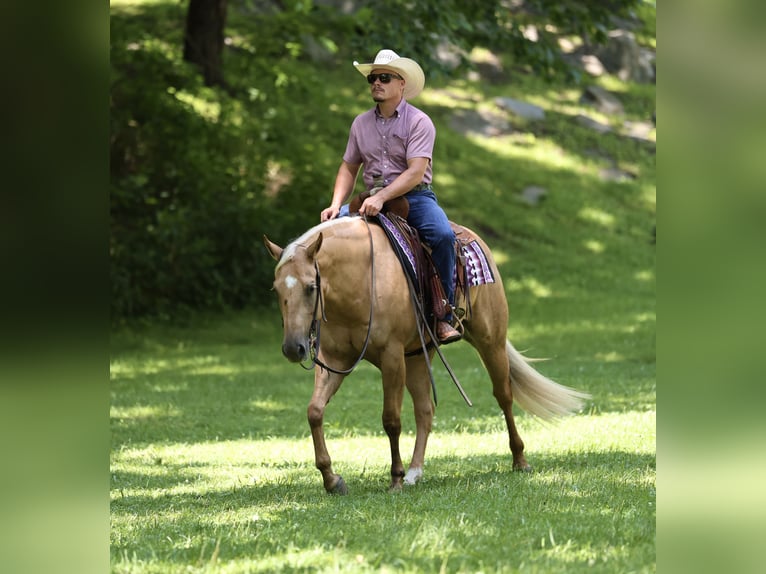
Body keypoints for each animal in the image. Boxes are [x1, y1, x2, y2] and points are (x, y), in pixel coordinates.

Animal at [263, 216, 589, 494]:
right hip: (419, 355)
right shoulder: (334, 361)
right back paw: (415, 472)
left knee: (504, 396)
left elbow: (391, 420)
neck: (359, 281)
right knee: (425, 410)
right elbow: (315, 412)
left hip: (490, 341)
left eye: (310, 287)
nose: (293, 348)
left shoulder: (391, 356)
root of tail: (472, 237)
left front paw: (394, 479)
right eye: (276, 289)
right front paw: (332, 480)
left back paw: (519, 460)